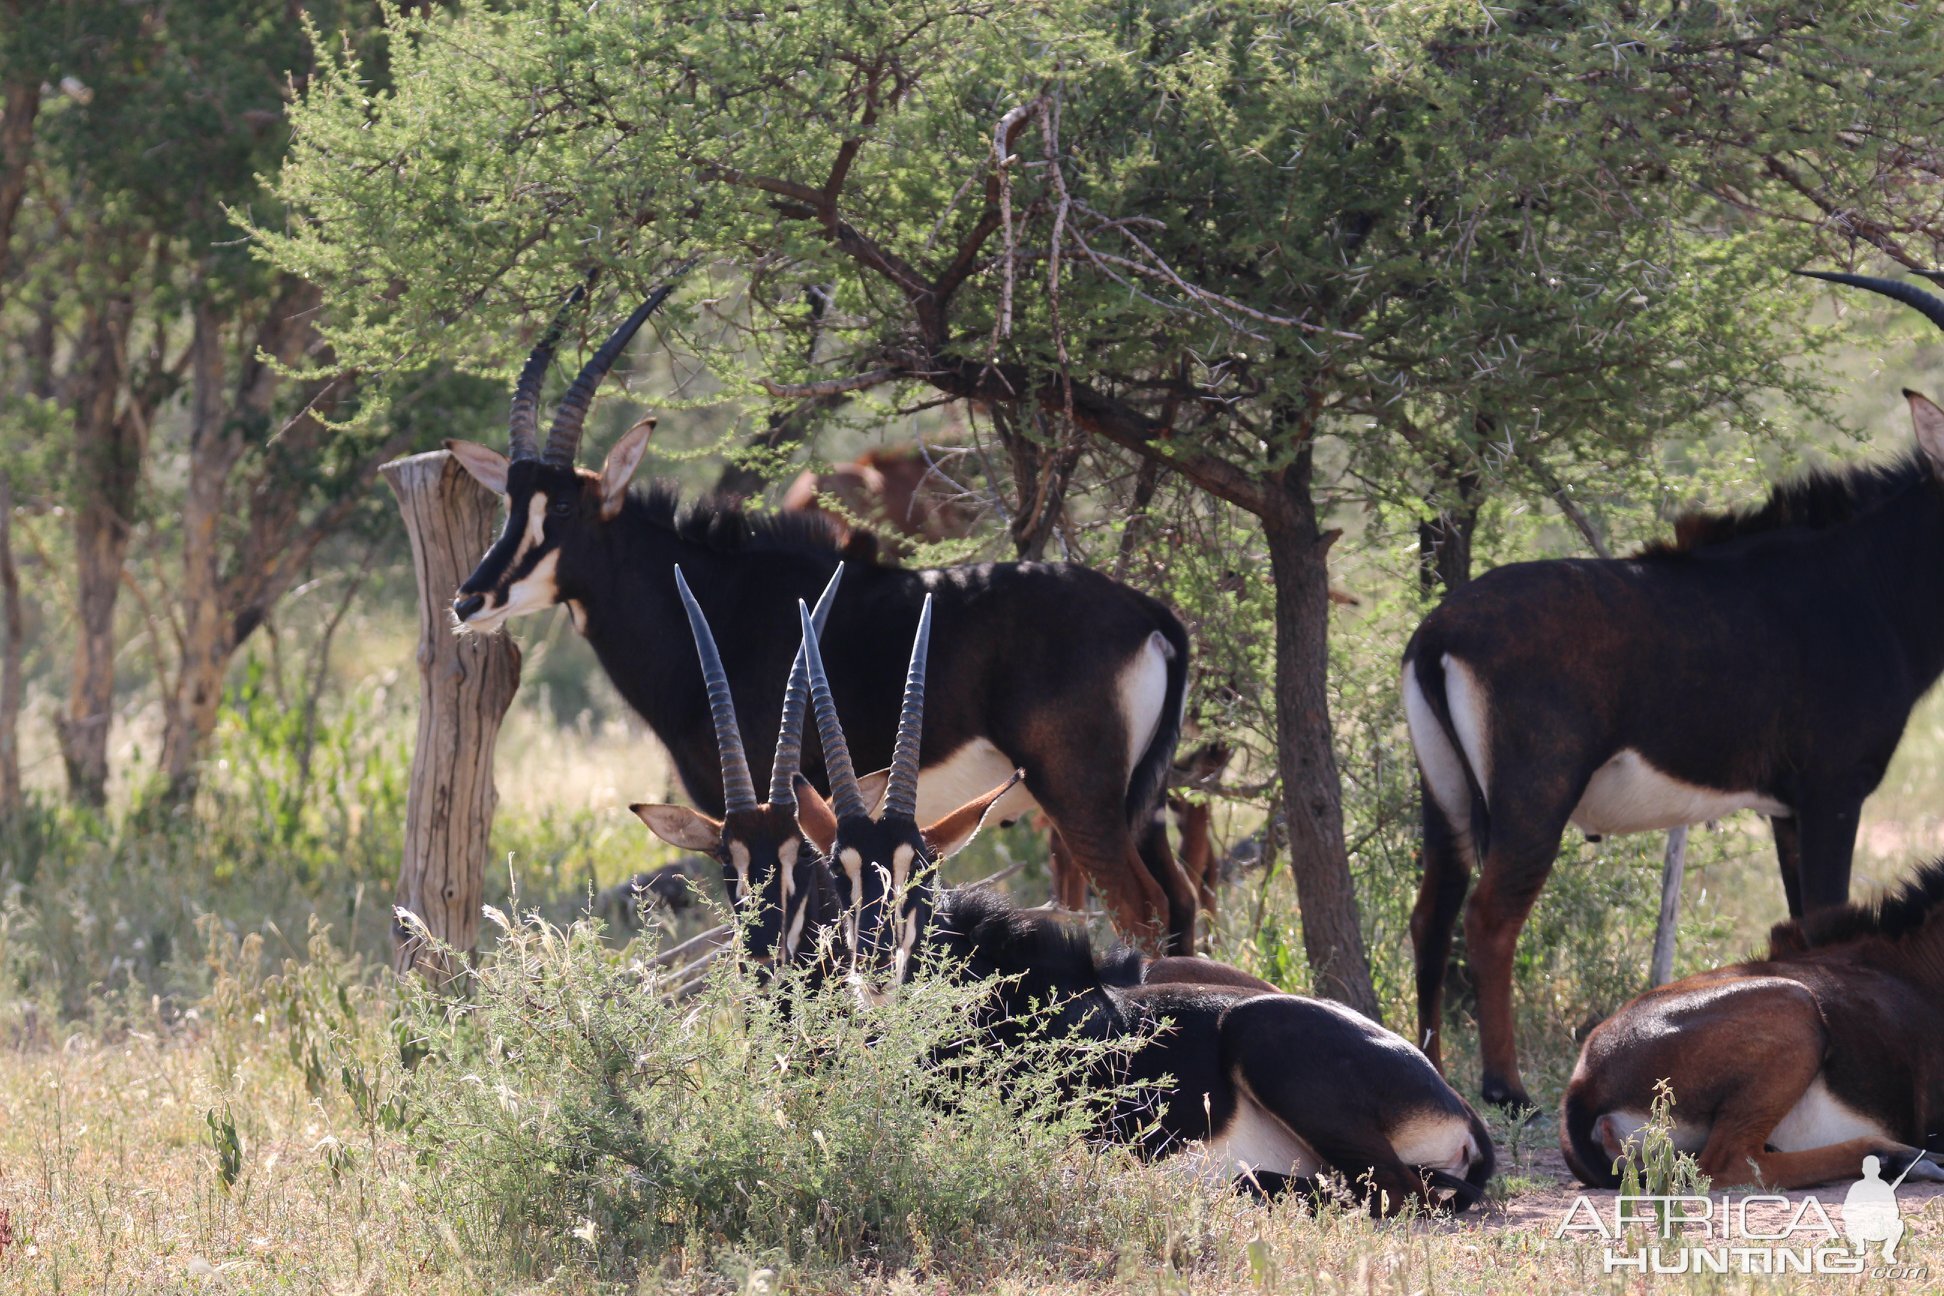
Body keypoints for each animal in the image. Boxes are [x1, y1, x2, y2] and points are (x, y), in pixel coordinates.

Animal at [445, 283, 1197, 952]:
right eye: (508, 501)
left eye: (561, 508)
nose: (469, 600)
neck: (722, 598)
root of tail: (1150, 615)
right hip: (1139, 806)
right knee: (1182, 901)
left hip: (1079, 798)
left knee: (1144, 907)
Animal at [789, 598, 1500, 1220]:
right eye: (838, 873)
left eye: (922, 875)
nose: (875, 966)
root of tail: (1457, 1105)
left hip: (1270, 1042)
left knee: (1389, 1191)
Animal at [1407, 268, 1944, 1111]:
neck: (1870, 584)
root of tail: (1439, 632)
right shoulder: (1834, 790)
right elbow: (1829, 914)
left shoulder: (1785, 810)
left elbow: (1801, 917)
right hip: (1534, 798)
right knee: (1488, 918)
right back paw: (1505, 1087)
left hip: (1444, 798)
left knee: (1430, 914)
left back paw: (1431, 1064)